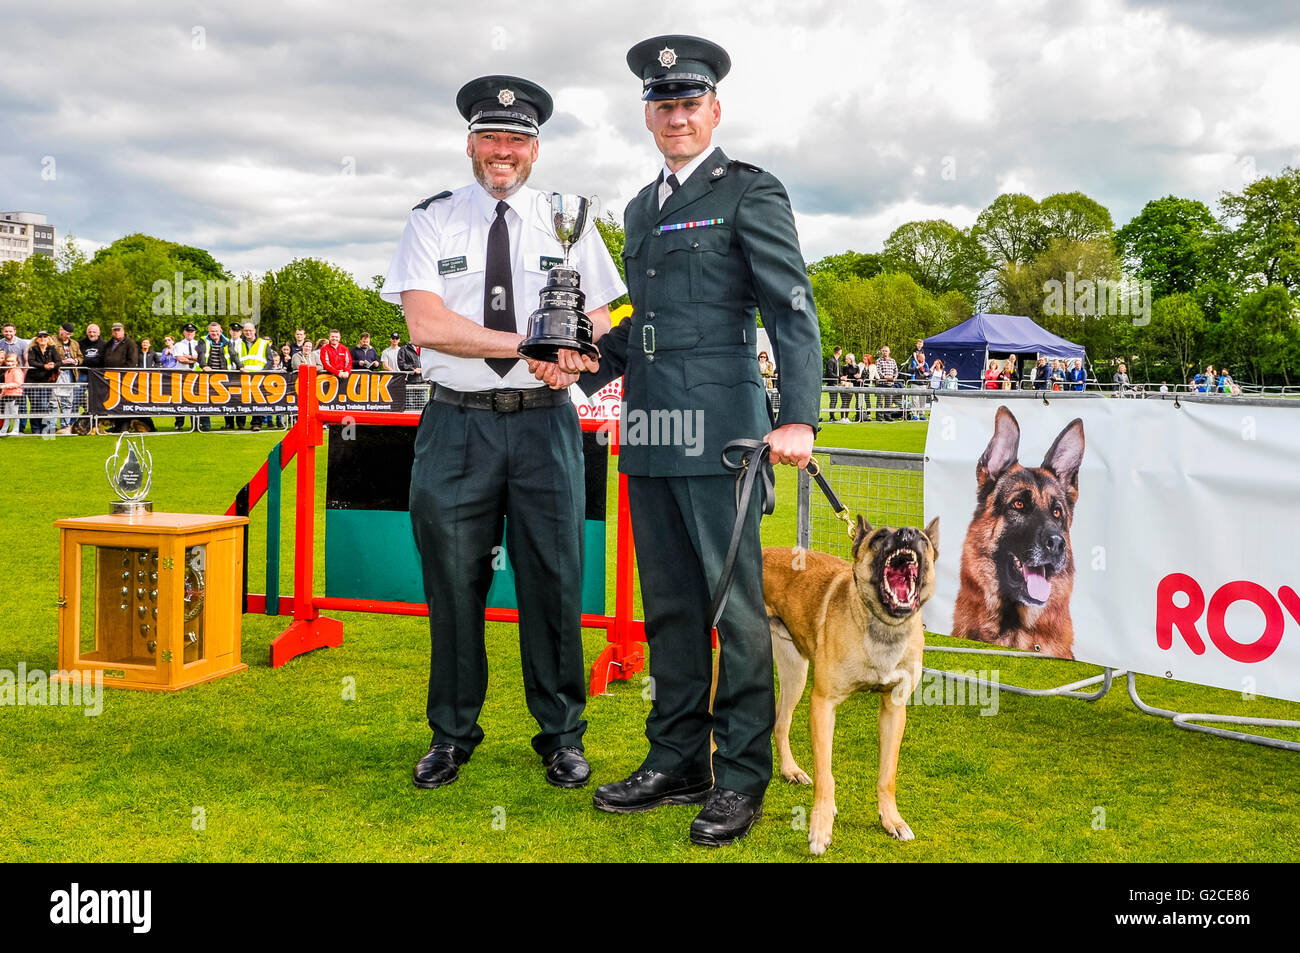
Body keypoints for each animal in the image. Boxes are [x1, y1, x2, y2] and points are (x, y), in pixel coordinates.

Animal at [759, 517, 935, 852]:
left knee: (780, 721)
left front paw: (891, 820)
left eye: (922, 538)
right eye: (879, 537)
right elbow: (826, 774)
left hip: (795, 672)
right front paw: (820, 826)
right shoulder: (823, 704)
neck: (881, 628)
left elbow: (887, 775)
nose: (906, 533)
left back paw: (790, 770)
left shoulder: (894, 710)